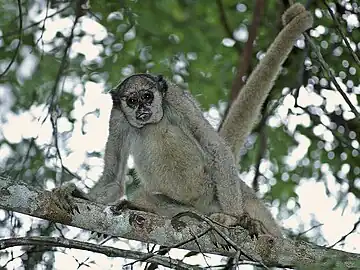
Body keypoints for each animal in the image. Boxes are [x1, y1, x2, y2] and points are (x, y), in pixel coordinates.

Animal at [52, 2, 314, 239]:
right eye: (132, 101)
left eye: (147, 96)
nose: (143, 109)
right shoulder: (117, 117)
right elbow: (113, 179)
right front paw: (79, 194)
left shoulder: (176, 98)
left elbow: (216, 149)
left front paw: (232, 219)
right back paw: (143, 206)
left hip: (214, 185)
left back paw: (247, 222)